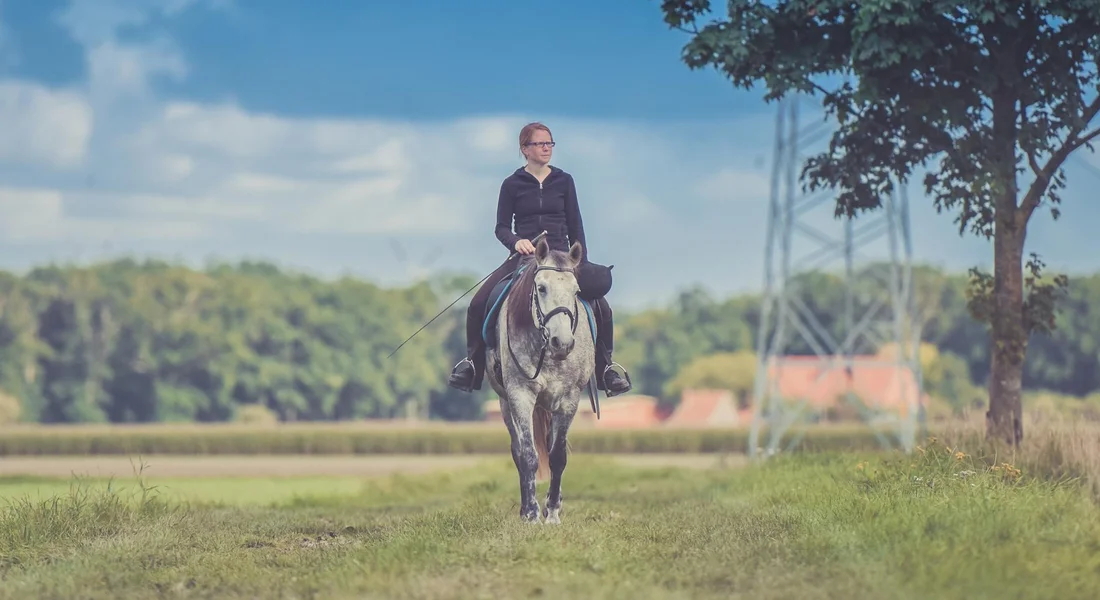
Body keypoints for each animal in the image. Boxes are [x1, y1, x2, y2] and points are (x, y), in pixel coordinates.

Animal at [484, 237, 596, 524]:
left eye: (576, 290)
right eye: (542, 288)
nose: (562, 343)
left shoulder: (569, 399)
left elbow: (557, 456)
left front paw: (553, 512)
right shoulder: (520, 395)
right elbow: (528, 455)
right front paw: (533, 514)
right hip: (505, 403)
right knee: (517, 451)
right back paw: (526, 509)